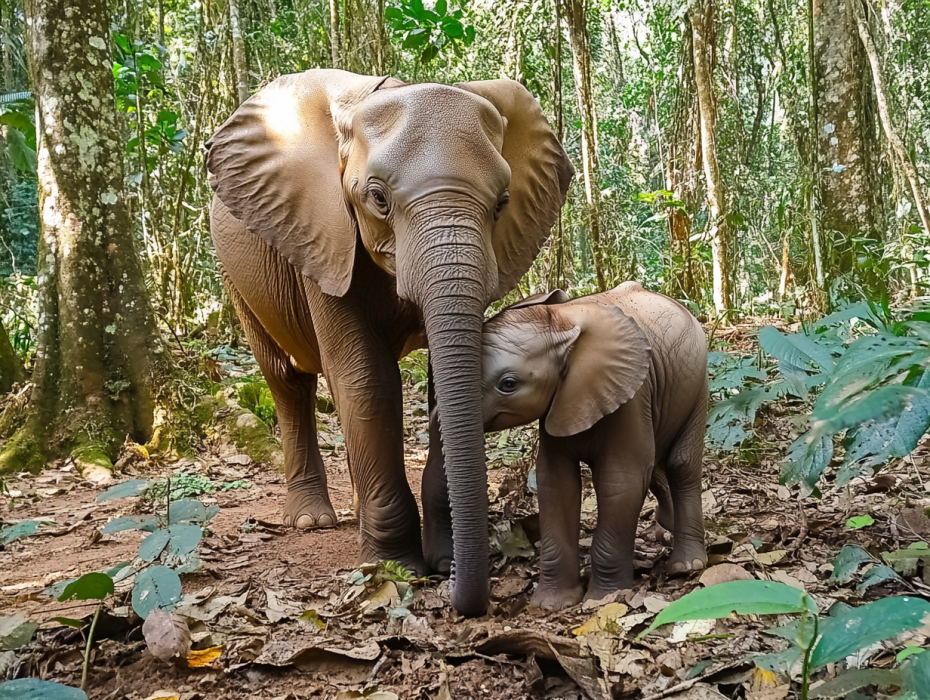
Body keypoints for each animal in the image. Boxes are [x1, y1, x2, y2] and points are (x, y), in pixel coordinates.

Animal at [206, 69, 573, 617]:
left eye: (502, 203)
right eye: (378, 198)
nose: (463, 594)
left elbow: (448, 376)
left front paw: (442, 560)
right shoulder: (322, 229)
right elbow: (367, 379)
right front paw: (394, 568)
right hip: (238, 272)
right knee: (286, 378)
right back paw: (311, 519)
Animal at [479, 283, 708, 610]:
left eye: (508, 384)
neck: (561, 319)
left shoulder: (632, 393)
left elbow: (620, 480)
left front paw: (602, 600)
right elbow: (556, 483)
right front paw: (551, 604)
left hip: (698, 383)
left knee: (680, 463)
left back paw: (687, 566)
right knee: (654, 466)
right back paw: (665, 528)